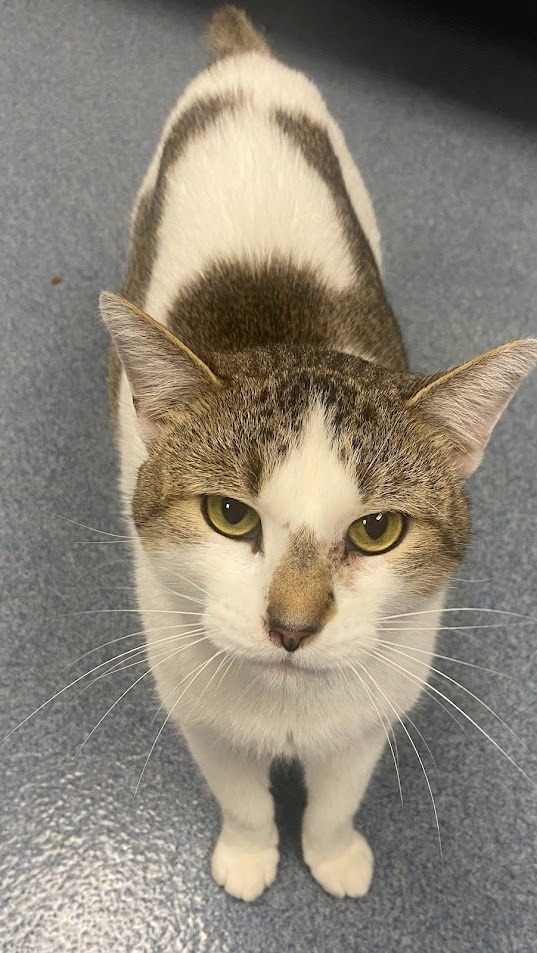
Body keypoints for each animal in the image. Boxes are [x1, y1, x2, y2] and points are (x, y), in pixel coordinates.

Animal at [100, 5, 536, 900]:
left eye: (377, 530)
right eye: (228, 515)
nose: (292, 626)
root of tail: (249, 69)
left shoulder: (371, 706)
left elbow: (337, 796)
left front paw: (332, 854)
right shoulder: (198, 707)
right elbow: (241, 795)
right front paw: (249, 853)